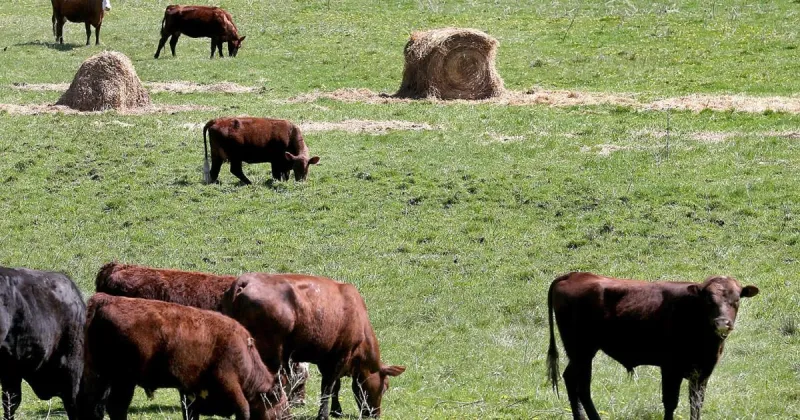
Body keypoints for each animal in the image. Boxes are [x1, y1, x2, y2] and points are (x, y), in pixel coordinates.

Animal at [79, 293, 288, 420]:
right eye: (281, 409)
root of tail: (106, 299)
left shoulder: (190, 393)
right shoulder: (230, 384)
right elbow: (244, 409)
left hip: (107, 379)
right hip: (121, 380)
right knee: (114, 407)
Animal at [221, 273, 406, 420]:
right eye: (385, 386)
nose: (375, 415)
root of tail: (247, 280)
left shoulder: (327, 358)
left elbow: (334, 387)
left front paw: (336, 411)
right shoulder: (339, 356)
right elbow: (328, 387)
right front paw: (324, 414)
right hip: (271, 353)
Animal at [546, 272, 760, 420]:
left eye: (736, 300)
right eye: (708, 300)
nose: (722, 323)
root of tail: (575, 275)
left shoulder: (703, 371)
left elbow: (696, 403)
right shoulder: (671, 368)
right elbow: (670, 402)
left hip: (580, 353)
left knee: (571, 379)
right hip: (582, 351)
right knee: (582, 387)